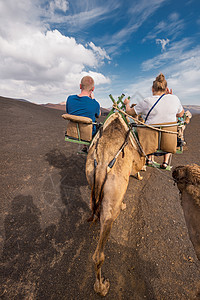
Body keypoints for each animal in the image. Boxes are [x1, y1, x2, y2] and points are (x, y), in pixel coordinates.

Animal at [85, 111, 145, 296]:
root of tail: (103, 163)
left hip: (91, 178)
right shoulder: (136, 161)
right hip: (113, 200)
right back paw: (102, 288)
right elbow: (138, 169)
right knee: (99, 255)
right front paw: (141, 175)